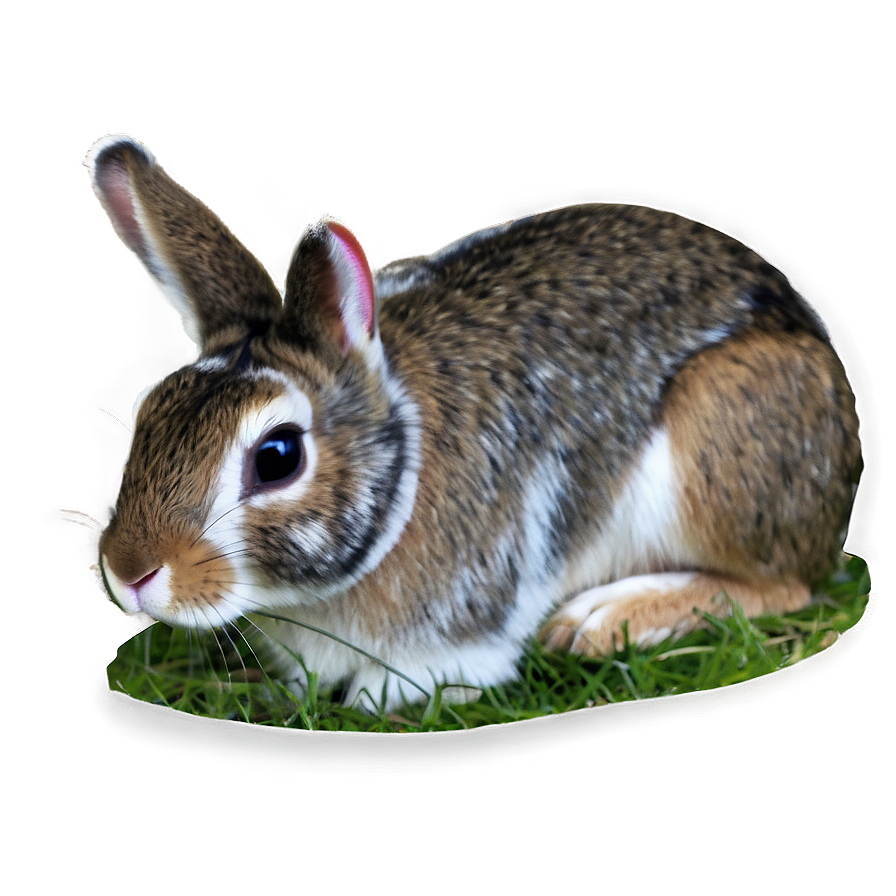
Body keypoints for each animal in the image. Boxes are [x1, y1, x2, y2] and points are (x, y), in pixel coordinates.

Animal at [85, 134, 861, 711]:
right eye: (149, 412)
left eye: (277, 456)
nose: (129, 573)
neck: (399, 469)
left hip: (721, 441)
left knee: (784, 587)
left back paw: (600, 621)